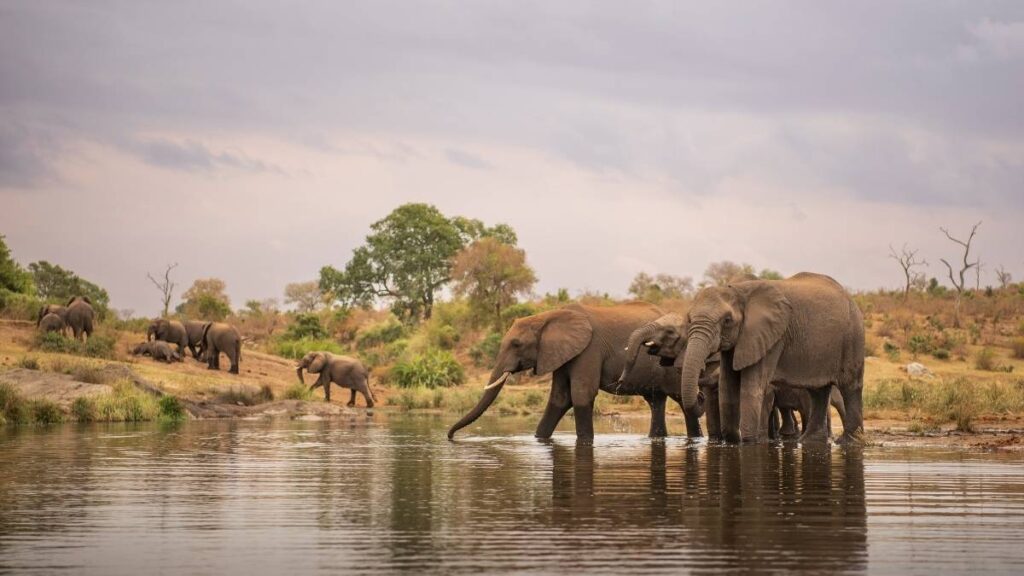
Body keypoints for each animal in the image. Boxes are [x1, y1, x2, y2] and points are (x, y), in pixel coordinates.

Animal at [448, 302, 706, 441]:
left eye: (516, 344)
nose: (450, 436)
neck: (549, 315)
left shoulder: (588, 349)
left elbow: (581, 395)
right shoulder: (562, 354)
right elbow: (559, 399)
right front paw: (538, 439)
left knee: (683, 400)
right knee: (656, 402)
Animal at [676, 272, 864, 444]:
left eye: (727, 320)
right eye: (689, 319)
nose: (700, 396)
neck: (738, 290)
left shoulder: (770, 337)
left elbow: (751, 388)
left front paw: (750, 443)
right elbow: (727, 386)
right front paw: (733, 442)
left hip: (852, 335)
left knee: (849, 386)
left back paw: (849, 442)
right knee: (818, 391)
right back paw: (809, 441)